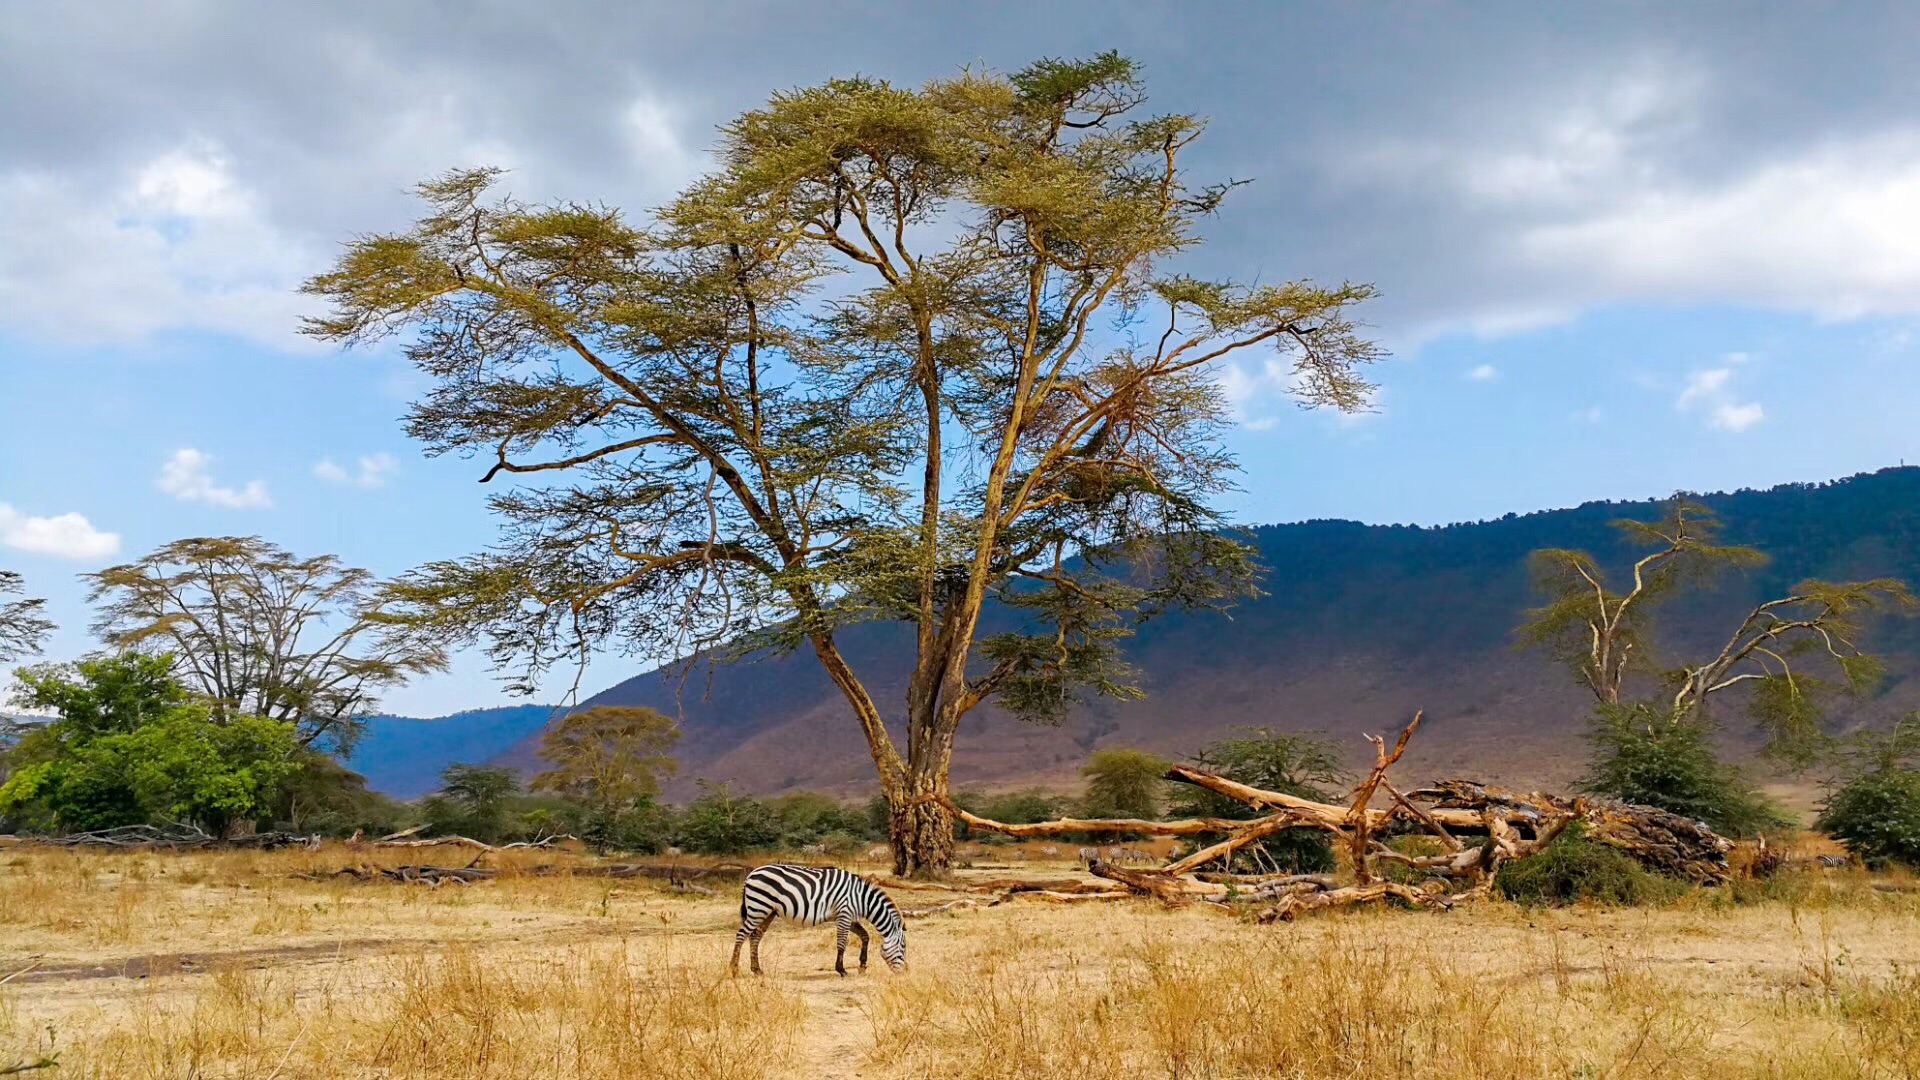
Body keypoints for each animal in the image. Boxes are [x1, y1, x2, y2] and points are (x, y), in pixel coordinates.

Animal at [733, 857, 906, 976]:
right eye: (903, 947)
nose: (905, 973)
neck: (862, 899)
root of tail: (750, 875)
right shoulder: (844, 913)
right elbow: (841, 943)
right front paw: (841, 970)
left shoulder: (848, 916)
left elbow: (865, 936)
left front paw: (862, 966)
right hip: (758, 907)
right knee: (741, 934)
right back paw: (733, 969)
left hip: (767, 912)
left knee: (755, 937)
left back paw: (757, 970)